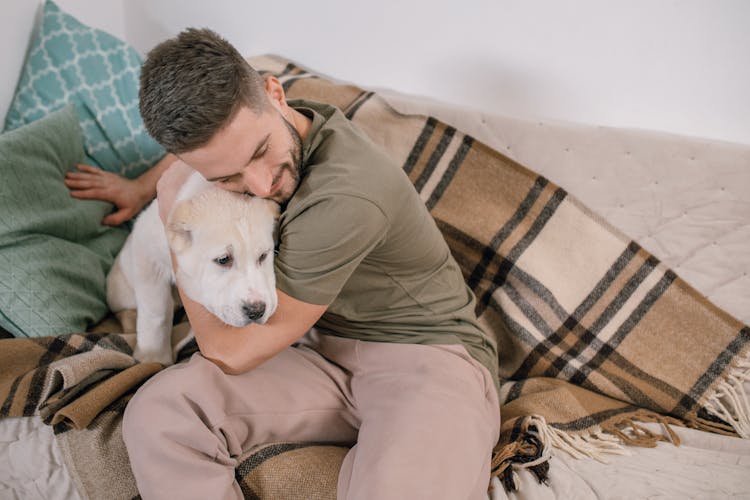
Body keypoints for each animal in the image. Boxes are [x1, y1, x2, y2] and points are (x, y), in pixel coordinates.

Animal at [107, 171, 280, 364]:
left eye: (263, 256)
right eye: (223, 259)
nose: (256, 310)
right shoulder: (146, 251)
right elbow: (156, 311)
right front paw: (153, 356)